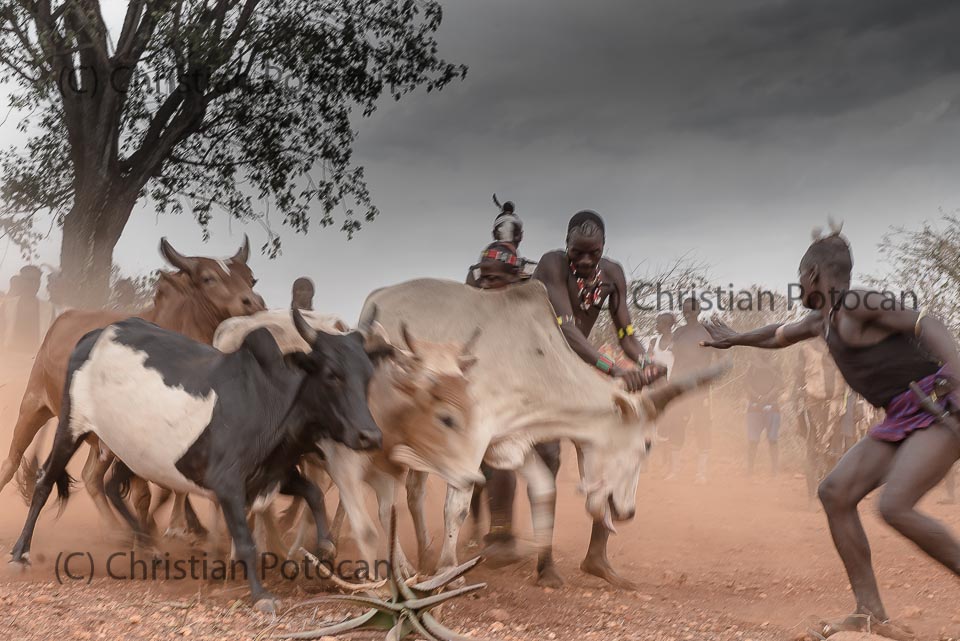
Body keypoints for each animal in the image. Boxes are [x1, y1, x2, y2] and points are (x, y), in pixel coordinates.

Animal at [2, 236, 264, 539]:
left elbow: (175, 489)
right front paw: (157, 529)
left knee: (91, 477)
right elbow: (146, 494)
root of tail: (63, 318)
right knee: (11, 462)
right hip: (34, 406)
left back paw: (115, 530)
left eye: (251, 278)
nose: (254, 303)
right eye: (208, 278)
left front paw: (178, 526)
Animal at [9, 308, 385, 613]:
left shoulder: (272, 474)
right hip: (70, 426)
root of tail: (93, 335)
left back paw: (148, 546)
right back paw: (20, 553)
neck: (267, 397)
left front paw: (325, 547)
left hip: (122, 450)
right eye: (332, 373)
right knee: (44, 481)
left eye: (368, 376)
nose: (370, 436)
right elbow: (246, 540)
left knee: (111, 487)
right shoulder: (228, 484)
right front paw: (262, 595)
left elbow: (314, 493)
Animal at [209, 308, 483, 571]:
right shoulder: (342, 465)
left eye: (470, 407)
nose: (472, 477)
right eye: (446, 418)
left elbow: (386, 515)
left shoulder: (384, 473)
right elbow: (365, 527)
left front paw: (402, 568)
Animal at [354, 278, 728, 587]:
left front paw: (546, 569)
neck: (531, 363)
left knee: (413, 493)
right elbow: (456, 506)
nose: (627, 513)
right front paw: (449, 571)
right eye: (647, 444)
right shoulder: (468, 442)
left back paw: (423, 553)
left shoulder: (511, 442)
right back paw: (397, 563)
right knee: (386, 495)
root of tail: (376, 299)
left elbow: (544, 490)